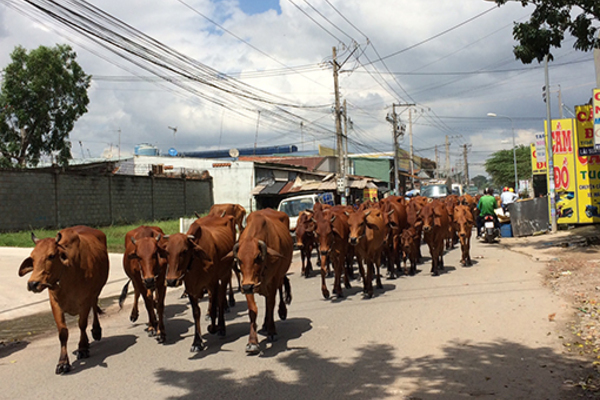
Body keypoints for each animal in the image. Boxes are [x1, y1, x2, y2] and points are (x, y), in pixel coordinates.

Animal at [18, 227, 108, 374]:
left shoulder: (85, 301)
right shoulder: (55, 303)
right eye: (32, 257)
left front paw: (82, 348)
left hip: (96, 290)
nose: (33, 284)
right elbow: (63, 332)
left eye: (51, 256)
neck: (68, 274)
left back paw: (96, 331)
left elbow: (82, 325)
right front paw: (63, 363)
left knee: (94, 307)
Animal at [166, 216, 239, 350]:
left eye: (184, 251)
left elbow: (214, 309)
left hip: (225, 274)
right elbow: (196, 313)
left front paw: (213, 327)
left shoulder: (213, 283)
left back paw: (222, 327)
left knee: (221, 299)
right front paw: (197, 342)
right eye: (167, 251)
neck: (196, 262)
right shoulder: (190, 289)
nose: (171, 281)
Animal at [230, 209, 292, 354]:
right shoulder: (246, 283)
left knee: (279, 290)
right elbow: (253, 310)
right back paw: (264, 324)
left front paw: (272, 331)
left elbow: (270, 304)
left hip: (280, 275)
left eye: (258, 256)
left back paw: (281, 312)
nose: (248, 287)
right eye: (239, 259)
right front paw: (252, 342)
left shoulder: (273, 280)